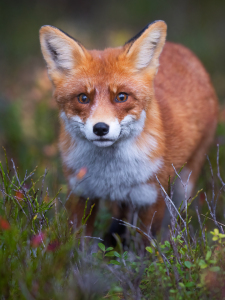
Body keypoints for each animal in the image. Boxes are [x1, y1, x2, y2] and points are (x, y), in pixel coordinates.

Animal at [39, 19, 218, 241]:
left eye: (121, 97)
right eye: (83, 98)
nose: (100, 128)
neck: (110, 175)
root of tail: (180, 48)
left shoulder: (151, 198)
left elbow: (144, 247)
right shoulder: (81, 193)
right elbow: (79, 242)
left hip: (183, 185)